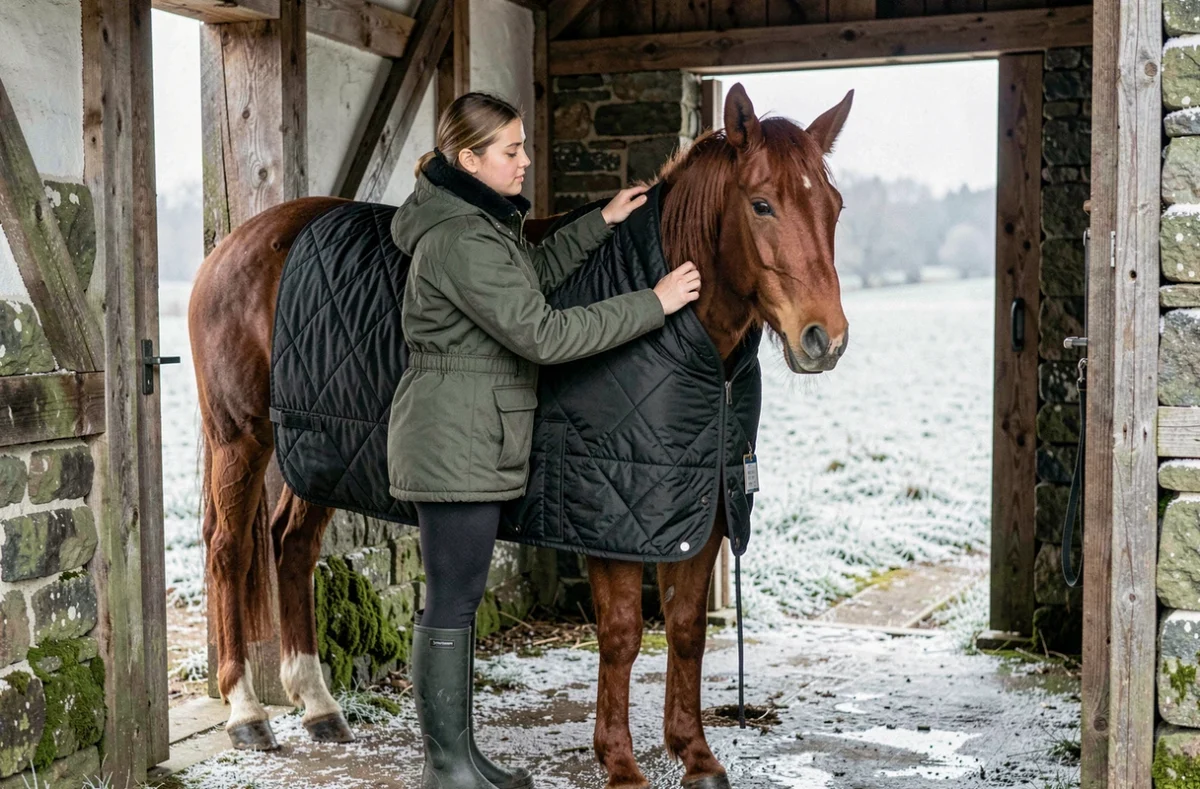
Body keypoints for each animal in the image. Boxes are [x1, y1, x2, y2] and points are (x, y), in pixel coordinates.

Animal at [187, 82, 851, 788]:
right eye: (762, 204)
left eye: (833, 206)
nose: (825, 339)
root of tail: (238, 244)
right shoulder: (609, 519)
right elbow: (621, 635)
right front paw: (621, 765)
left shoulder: (701, 511)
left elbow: (687, 631)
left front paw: (695, 755)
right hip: (240, 437)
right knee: (229, 548)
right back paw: (246, 712)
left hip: (319, 452)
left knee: (290, 545)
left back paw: (317, 705)